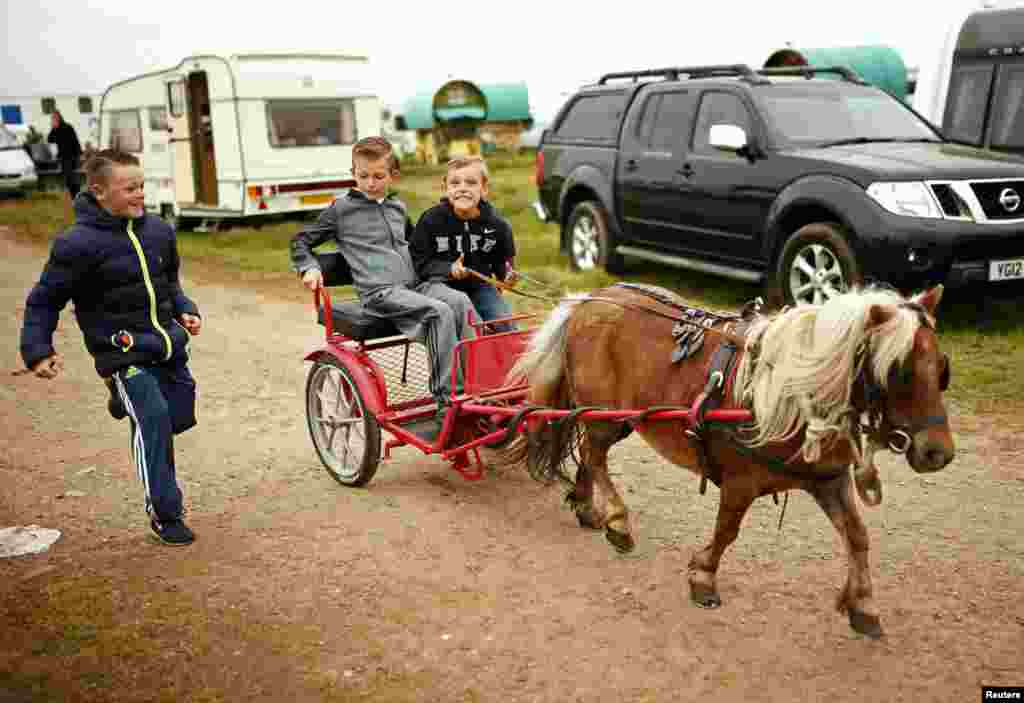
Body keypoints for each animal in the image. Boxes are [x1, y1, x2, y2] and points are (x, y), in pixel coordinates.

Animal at [501, 282, 950, 638]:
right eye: (900, 372)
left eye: (942, 369)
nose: (939, 453)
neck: (793, 393)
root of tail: (590, 298)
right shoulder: (740, 482)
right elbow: (727, 531)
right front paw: (703, 576)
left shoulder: (828, 481)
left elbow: (857, 537)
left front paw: (864, 605)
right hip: (607, 415)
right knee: (594, 456)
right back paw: (616, 520)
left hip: (615, 417)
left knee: (589, 454)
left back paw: (586, 506)